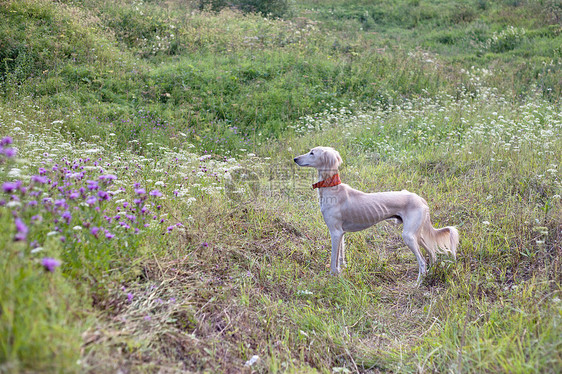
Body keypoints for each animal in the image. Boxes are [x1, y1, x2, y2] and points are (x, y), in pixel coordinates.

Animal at [290, 146, 458, 284]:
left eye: (312, 153)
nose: (295, 159)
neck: (332, 189)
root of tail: (420, 198)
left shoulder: (335, 232)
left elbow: (333, 261)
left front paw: (332, 279)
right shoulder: (341, 233)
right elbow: (340, 257)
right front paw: (342, 272)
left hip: (409, 236)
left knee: (422, 262)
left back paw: (417, 284)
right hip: (417, 234)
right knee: (432, 253)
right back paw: (432, 273)